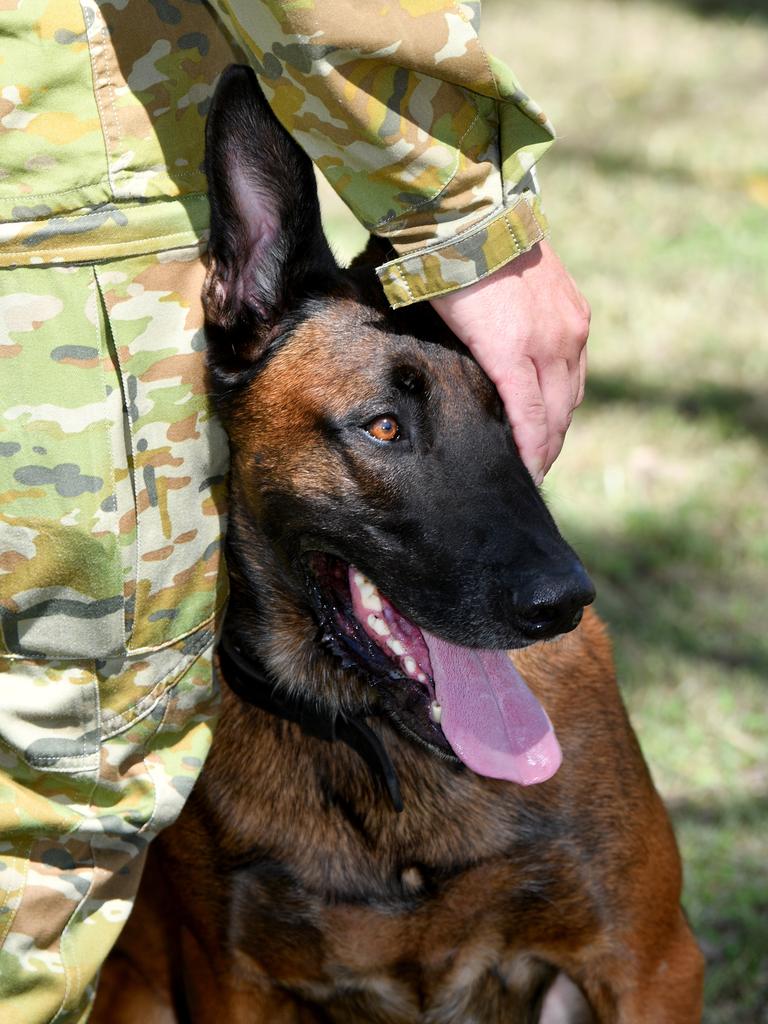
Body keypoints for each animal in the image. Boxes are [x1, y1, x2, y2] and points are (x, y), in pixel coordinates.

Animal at [93, 66, 708, 1024]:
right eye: (384, 427)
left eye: (518, 417)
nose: (562, 602)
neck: (382, 751)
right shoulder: (230, 981)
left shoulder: (649, 962)